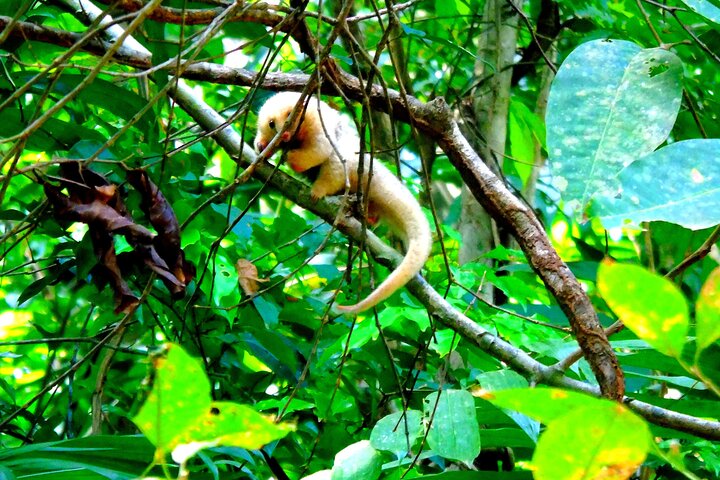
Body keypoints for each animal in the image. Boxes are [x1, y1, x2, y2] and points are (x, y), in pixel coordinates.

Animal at [254, 92, 432, 313]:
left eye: (292, 116)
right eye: (272, 123)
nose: (284, 134)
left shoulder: (319, 125)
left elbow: (319, 149)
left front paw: (291, 158)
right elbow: (264, 143)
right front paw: (262, 147)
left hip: (351, 163)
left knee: (334, 167)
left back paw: (318, 191)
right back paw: (369, 216)